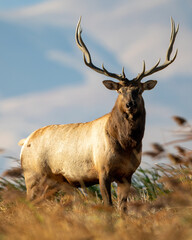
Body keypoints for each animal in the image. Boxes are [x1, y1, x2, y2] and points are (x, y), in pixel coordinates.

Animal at [19, 17, 178, 211]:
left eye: (139, 90)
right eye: (120, 91)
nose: (130, 104)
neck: (126, 145)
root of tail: (24, 142)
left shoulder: (127, 174)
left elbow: (123, 209)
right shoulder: (102, 170)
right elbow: (108, 205)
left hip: (56, 182)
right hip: (32, 176)